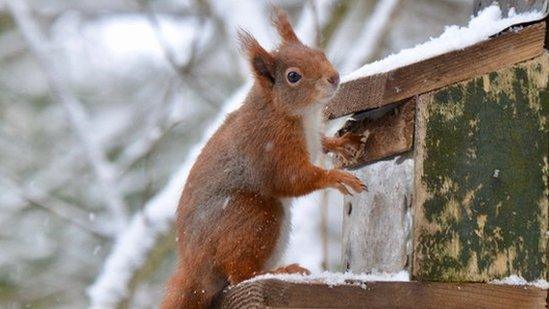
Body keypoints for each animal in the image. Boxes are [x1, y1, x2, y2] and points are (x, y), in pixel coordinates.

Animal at [163, 8, 368, 306]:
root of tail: (195, 271)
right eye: (293, 76)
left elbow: (321, 143)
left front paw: (345, 142)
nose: (334, 77)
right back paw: (282, 271)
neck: (294, 112)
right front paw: (336, 177)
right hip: (255, 215)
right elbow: (290, 177)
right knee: (240, 274)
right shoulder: (270, 144)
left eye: (318, 53)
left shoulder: (310, 135)